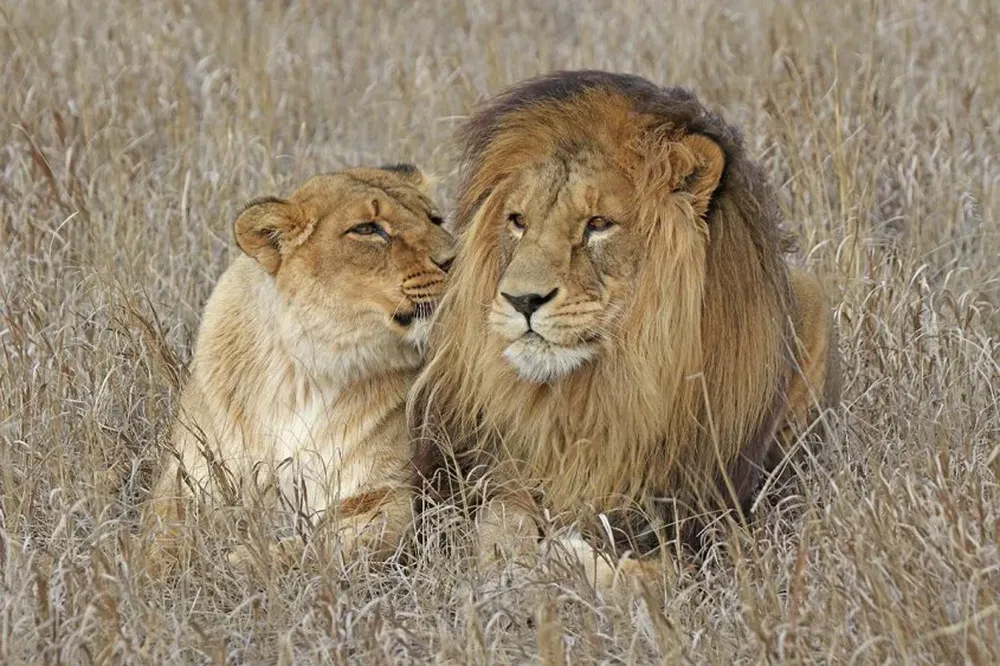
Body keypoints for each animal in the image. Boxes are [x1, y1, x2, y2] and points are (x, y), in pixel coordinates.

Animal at [145, 164, 454, 572]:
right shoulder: (189, 478)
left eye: (435, 219)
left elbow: (322, 546)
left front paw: (231, 563)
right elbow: (158, 540)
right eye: (368, 228)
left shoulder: (390, 494)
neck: (304, 372)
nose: (456, 259)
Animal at [408, 71, 841, 594]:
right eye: (518, 221)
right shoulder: (501, 473)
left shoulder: (719, 530)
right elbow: (496, 524)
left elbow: (650, 577)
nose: (521, 300)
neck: (599, 395)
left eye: (598, 224)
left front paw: (566, 559)